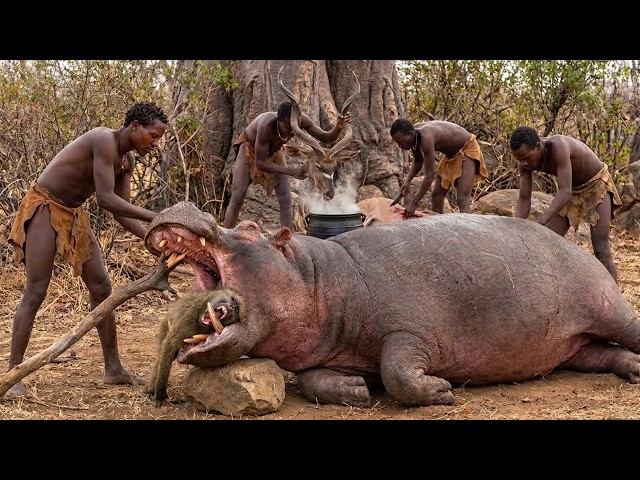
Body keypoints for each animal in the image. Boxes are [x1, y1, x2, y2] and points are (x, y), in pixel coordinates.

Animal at [144, 201, 640, 408]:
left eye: (248, 227)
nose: (189, 205)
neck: (318, 278)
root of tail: (579, 250)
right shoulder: (323, 352)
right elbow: (311, 380)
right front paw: (357, 392)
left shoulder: (410, 331)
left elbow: (397, 371)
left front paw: (440, 391)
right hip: (569, 344)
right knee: (598, 354)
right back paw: (633, 369)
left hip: (608, 306)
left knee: (628, 329)